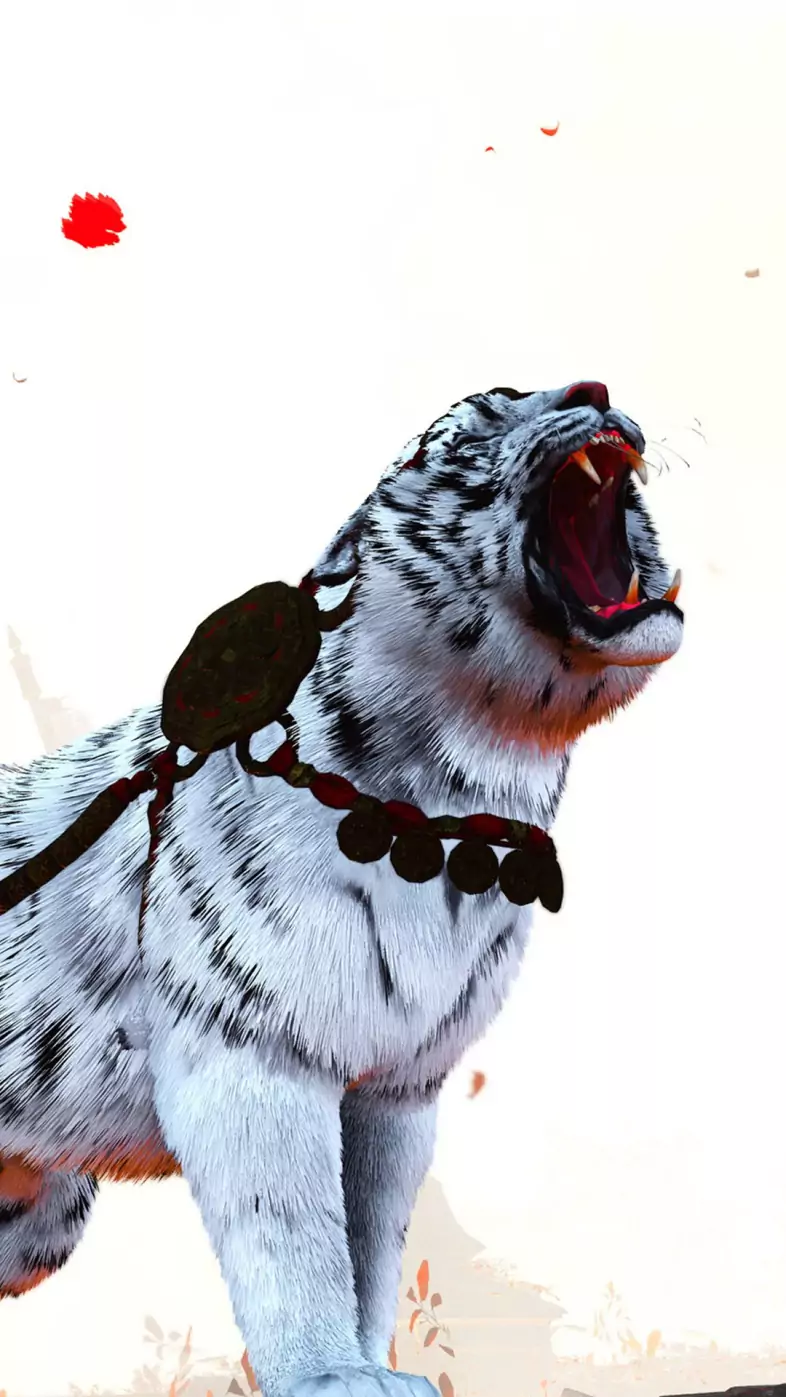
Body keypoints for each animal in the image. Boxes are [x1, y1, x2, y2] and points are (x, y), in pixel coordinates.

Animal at [0, 380, 683, 1397]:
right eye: (466, 424)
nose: (594, 389)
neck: (460, 808)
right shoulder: (251, 1049)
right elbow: (295, 1230)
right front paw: (328, 1375)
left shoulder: (399, 1082)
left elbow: (373, 1236)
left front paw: (377, 1369)